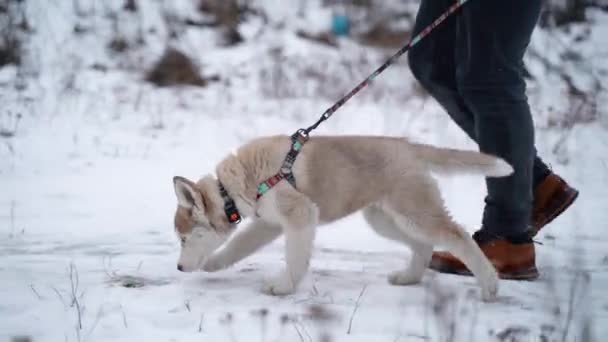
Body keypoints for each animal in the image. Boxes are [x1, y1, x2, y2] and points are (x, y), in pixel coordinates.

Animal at [173, 135, 510, 300]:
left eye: (185, 238)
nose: (178, 268)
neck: (239, 183)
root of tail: (408, 146)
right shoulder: (268, 224)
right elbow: (239, 246)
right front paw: (214, 263)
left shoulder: (301, 215)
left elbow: (295, 258)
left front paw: (284, 287)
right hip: (385, 219)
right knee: (423, 245)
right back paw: (409, 277)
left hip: (414, 212)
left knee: (457, 236)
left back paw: (490, 286)